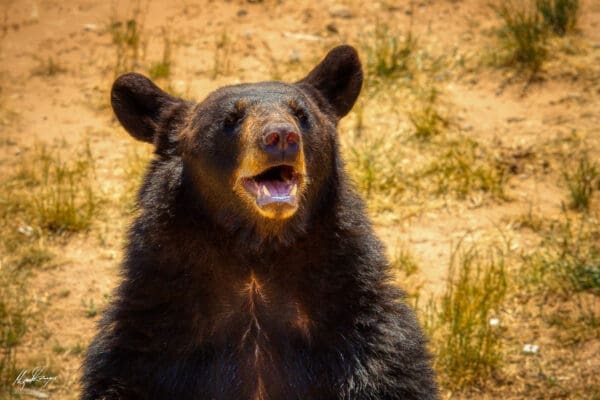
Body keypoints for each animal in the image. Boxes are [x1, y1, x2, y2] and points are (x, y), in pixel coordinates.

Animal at [81, 46, 436, 400]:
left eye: (302, 115)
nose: (281, 136)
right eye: (230, 119)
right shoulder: (153, 333)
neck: (258, 252)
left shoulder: (361, 330)